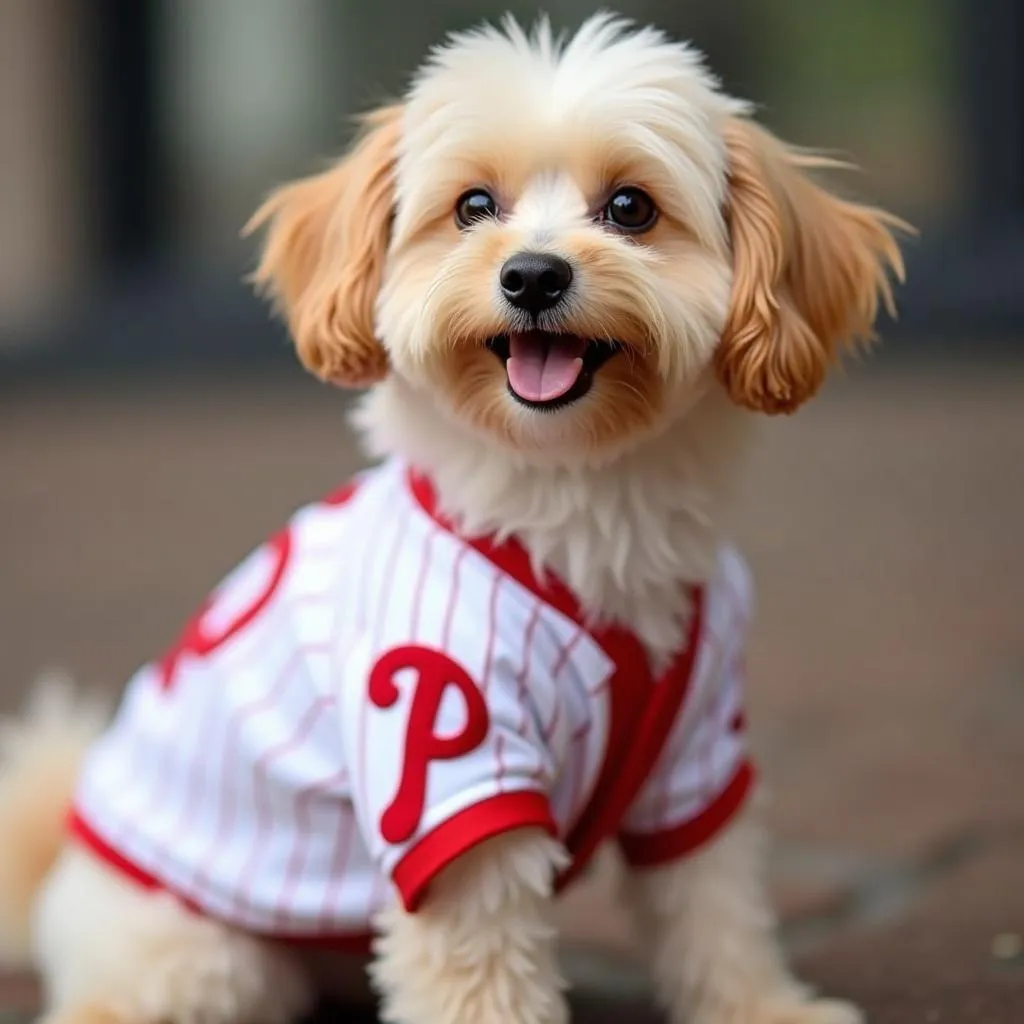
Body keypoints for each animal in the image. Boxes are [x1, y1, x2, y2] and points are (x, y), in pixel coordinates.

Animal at [0, 14, 909, 1024]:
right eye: (474, 206)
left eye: (631, 208)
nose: (533, 275)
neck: (577, 500)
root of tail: (60, 858)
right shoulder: (450, 771)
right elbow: (481, 968)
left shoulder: (699, 753)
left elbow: (717, 911)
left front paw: (765, 1007)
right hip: (200, 956)